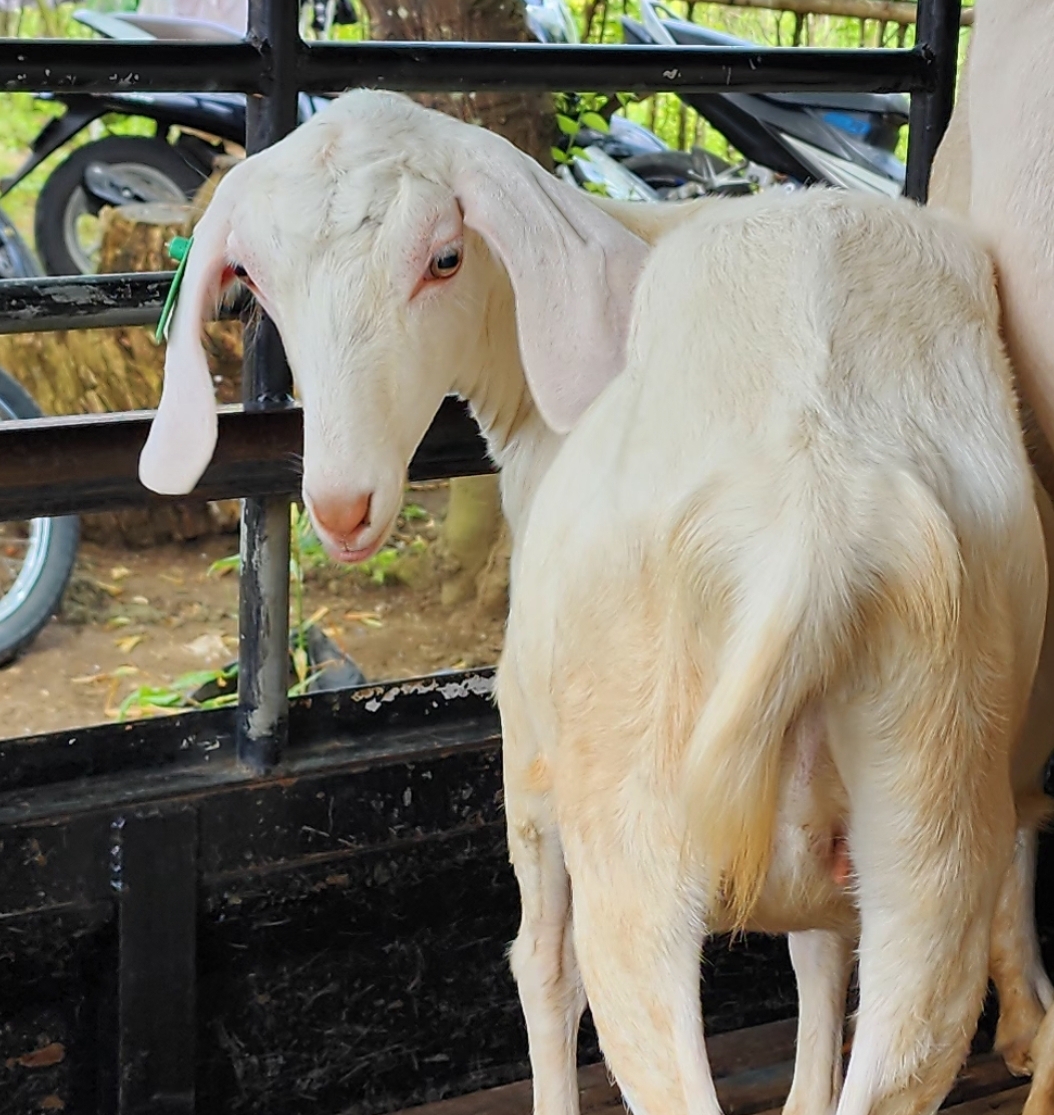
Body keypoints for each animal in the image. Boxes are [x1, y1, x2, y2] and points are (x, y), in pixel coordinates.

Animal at [138, 89, 1048, 1115]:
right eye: (255, 278)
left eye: (445, 258)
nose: (340, 506)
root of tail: (823, 523)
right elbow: (820, 956)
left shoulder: (531, 751)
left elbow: (541, 963)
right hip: (932, 789)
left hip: (636, 816)